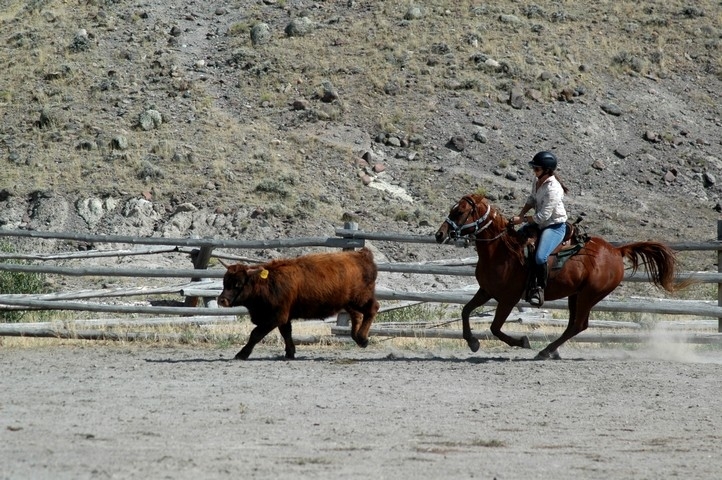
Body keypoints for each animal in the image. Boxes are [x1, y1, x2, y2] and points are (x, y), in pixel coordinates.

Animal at [217, 248, 380, 360]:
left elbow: (255, 334)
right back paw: (358, 339)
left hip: (361, 299)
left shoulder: (276, 317)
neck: (266, 283)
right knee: (357, 316)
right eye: (225, 282)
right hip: (348, 303)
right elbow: (286, 333)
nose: (222, 300)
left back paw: (362, 338)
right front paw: (290, 353)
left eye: (238, 284)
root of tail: (361, 254)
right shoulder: (283, 318)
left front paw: (241, 354)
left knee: (372, 309)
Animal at [434, 193, 680, 358]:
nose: (439, 234)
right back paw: (551, 351)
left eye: (459, 211)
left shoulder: (508, 298)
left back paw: (545, 351)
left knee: (578, 325)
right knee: (575, 325)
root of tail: (616, 251)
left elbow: (495, 327)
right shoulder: (486, 291)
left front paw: (522, 342)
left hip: (589, 296)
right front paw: (472, 342)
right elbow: (466, 311)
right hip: (576, 295)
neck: (502, 251)